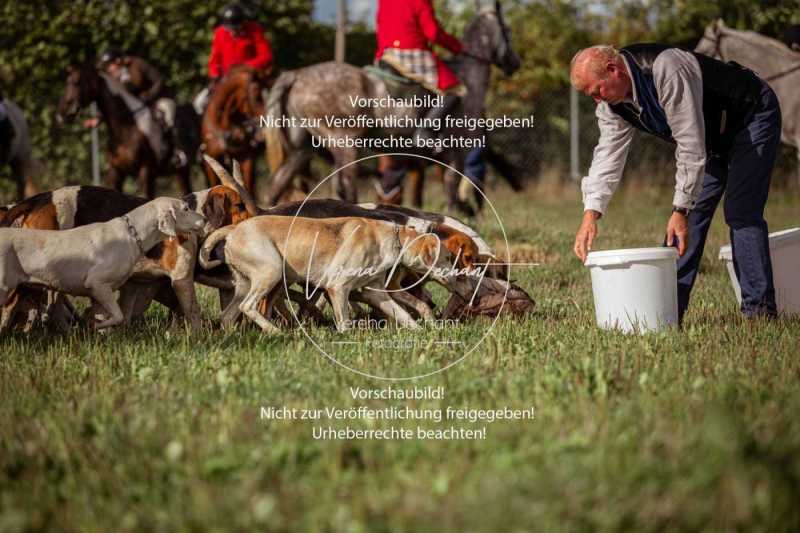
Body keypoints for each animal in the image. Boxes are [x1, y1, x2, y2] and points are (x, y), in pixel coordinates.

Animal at [56, 64, 198, 197]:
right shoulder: (116, 172)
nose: (62, 113)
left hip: (182, 171)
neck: (126, 130)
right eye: (67, 82)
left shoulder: (146, 171)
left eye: (77, 81)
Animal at [262, 2, 520, 214]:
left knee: (277, 184)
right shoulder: (456, 151)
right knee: (346, 189)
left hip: (303, 147)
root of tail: (296, 75)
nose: (515, 63)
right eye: (506, 29)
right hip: (344, 143)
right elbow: (451, 189)